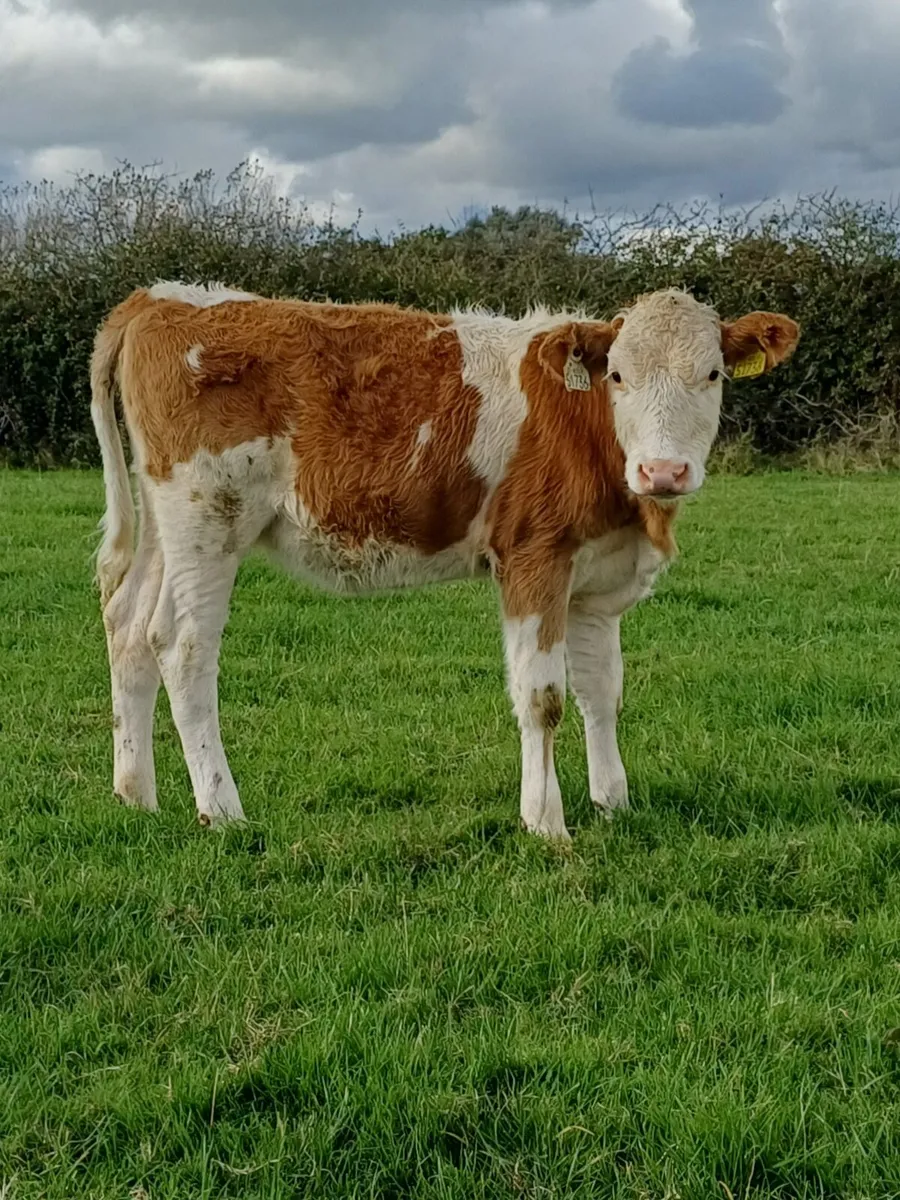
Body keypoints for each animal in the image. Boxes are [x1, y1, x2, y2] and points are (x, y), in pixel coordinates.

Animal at [90, 282, 799, 839]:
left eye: (712, 375)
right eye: (618, 376)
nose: (663, 471)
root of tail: (156, 297)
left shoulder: (596, 578)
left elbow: (603, 693)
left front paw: (613, 804)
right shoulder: (534, 557)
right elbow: (543, 697)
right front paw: (546, 822)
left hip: (164, 526)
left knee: (129, 627)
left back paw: (137, 796)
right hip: (206, 517)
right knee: (181, 646)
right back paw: (222, 809)